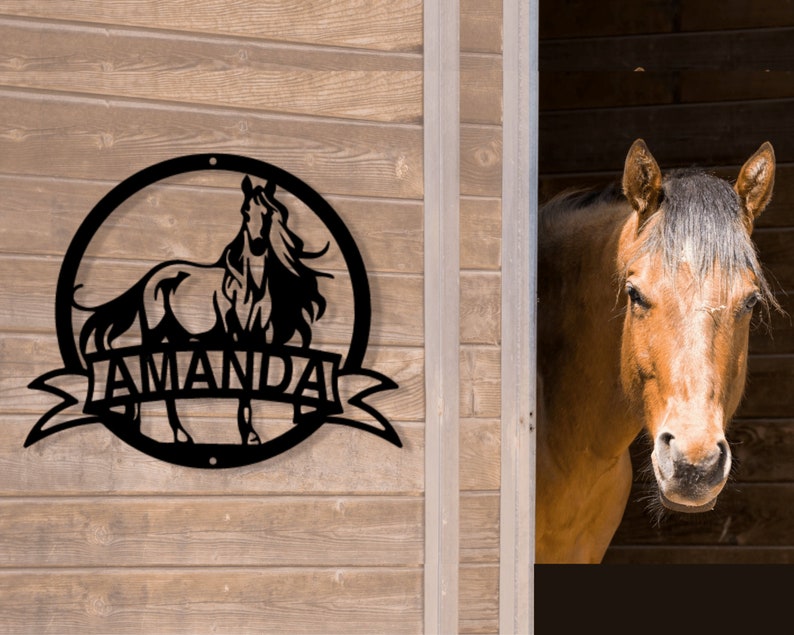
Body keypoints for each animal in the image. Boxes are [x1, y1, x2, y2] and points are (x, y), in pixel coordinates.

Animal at [77, 174, 331, 445]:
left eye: (271, 212)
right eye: (245, 211)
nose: (258, 244)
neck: (248, 286)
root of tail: (151, 277)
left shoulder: (258, 333)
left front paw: (251, 435)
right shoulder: (232, 332)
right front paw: (247, 434)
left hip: (177, 335)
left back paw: (179, 433)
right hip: (156, 333)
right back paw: (164, 431)